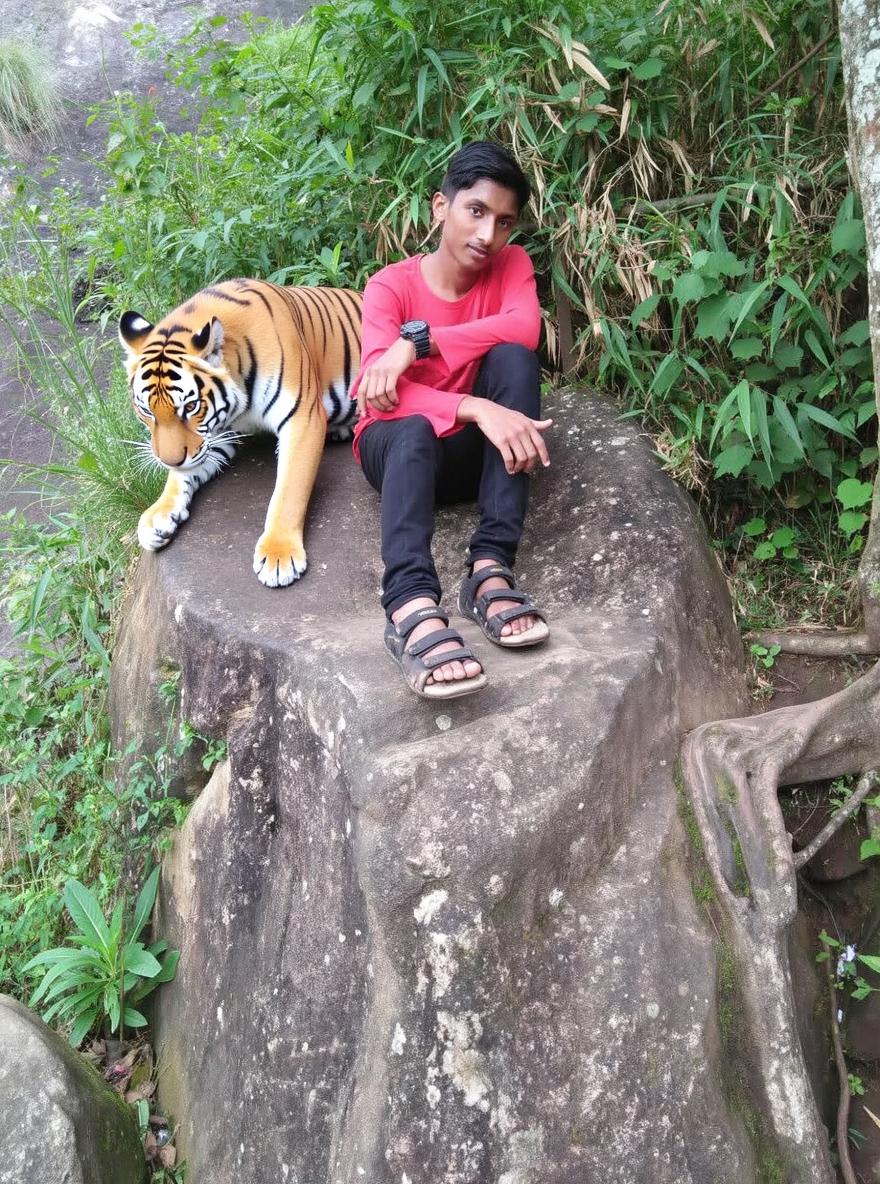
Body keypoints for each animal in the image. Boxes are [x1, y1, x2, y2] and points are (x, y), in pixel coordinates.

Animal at [119, 278, 362, 587]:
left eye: (190, 406)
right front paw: (158, 515)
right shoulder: (215, 435)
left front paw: (279, 555)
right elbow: (180, 477)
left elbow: (289, 491)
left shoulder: (302, 418)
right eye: (147, 411)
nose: (169, 460)